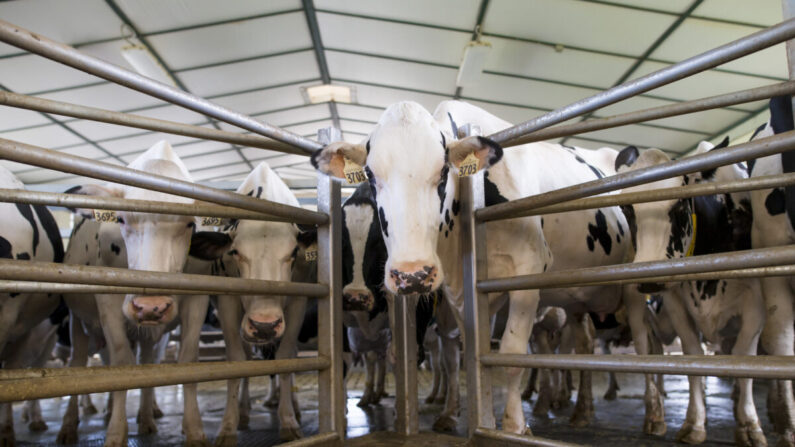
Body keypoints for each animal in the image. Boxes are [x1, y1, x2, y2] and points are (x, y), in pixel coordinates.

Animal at [56, 142, 211, 447]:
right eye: (121, 218)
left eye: (190, 224)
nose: (151, 306)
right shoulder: (107, 303)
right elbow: (120, 363)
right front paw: (116, 433)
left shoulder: (197, 300)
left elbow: (187, 360)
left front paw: (195, 430)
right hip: (78, 322)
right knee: (78, 361)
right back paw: (70, 424)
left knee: (147, 360)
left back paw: (147, 416)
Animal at [310, 101, 636, 438]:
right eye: (371, 175)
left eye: (443, 171)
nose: (412, 274)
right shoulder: (463, 294)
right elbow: (468, 357)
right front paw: (468, 416)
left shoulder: (527, 272)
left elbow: (511, 354)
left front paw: (514, 426)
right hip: (577, 300)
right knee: (584, 343)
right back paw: (580, 409)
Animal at [616, 142, 764, 446]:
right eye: (627, 208)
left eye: (680, 204)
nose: (648, 279)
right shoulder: (675, 302)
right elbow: (692, 355)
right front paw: (694, 422)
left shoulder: (756, 302)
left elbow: (744, 357)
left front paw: (750, 425)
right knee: (646, 351)